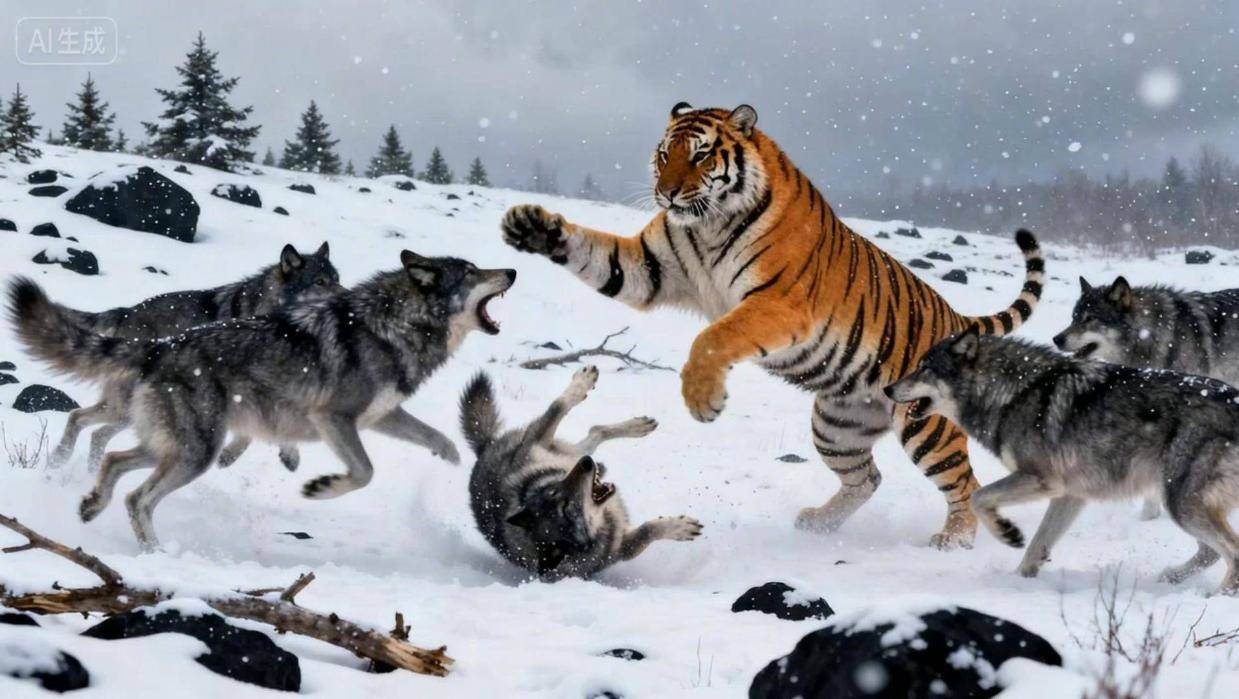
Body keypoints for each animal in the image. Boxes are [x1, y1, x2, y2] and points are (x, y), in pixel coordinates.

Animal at [500, 102, 1044, 549]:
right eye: (664, 154)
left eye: (700, 156)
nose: (666, 193)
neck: (707, 222)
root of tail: (956, 318)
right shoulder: (647, 269)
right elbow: (594, 252)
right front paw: (531, 226)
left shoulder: (777, 302)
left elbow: (714, 337)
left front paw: (704, 399)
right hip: (837, 425)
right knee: (866, 479)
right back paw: (818, 523)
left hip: (924, 426)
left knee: (965, 483)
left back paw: (954, 539)